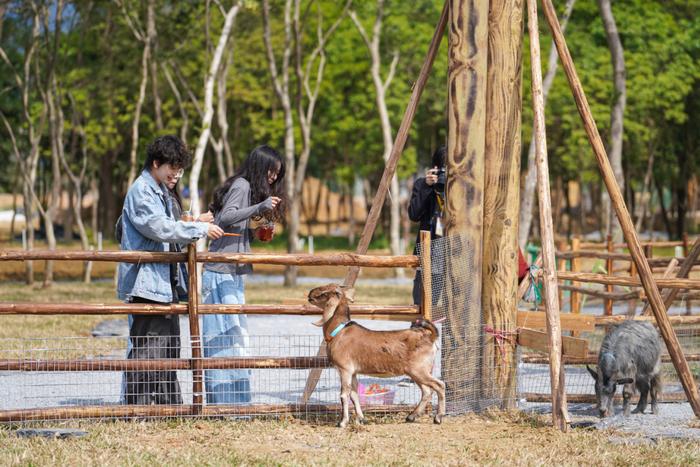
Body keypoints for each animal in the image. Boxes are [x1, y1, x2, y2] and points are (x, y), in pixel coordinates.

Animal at [308, 282, 446, 428]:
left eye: (324, 293)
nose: (310, 294)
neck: (340, 332)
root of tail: (430, 336)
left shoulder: (344, 369)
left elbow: (344, 395)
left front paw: (342, 422)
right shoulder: (353, 372)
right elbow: (354, 395)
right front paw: (361, 419)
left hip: (419, 370)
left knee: (439, 385)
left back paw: (438, 417)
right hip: (417, 372)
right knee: (427, 391)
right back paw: (411, 416)